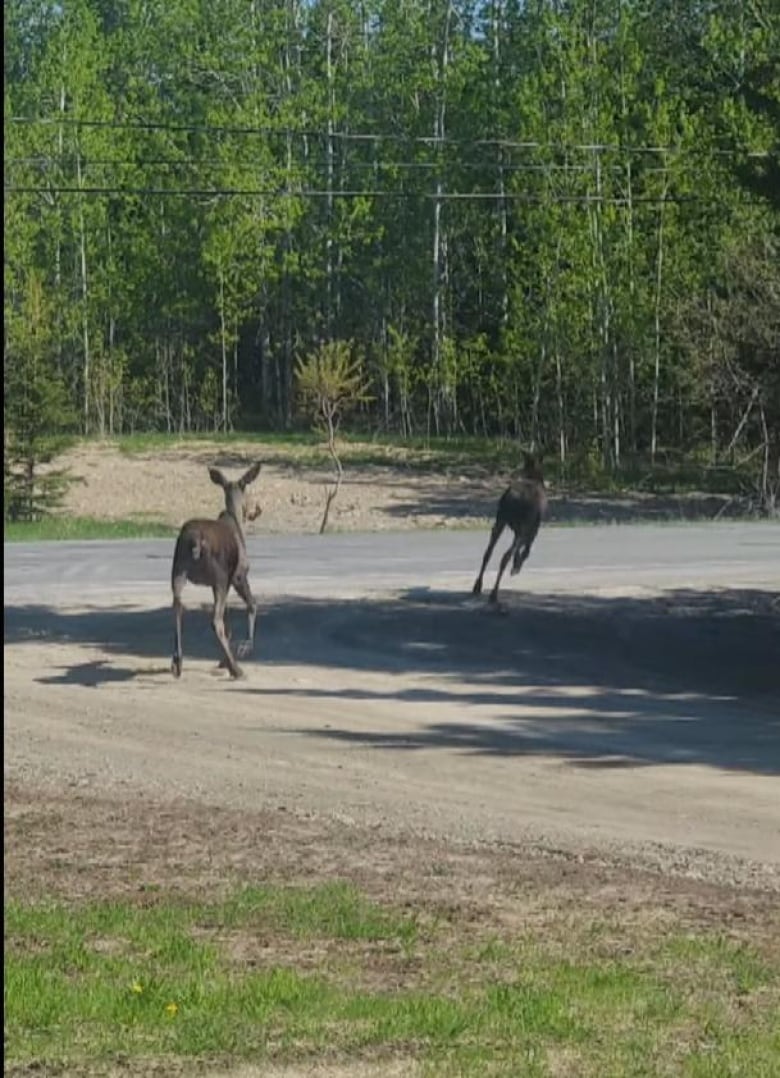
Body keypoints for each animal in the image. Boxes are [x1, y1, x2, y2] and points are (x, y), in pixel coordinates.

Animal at [170, 459, 261, 676]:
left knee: (178, 607)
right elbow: (252, 605)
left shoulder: (216, 583)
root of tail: (195, 541)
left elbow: (229, 623)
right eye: (248, 489)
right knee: (215, 620)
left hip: (178, 570)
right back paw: (237, 670)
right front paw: (244, 648)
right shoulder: (238, 575)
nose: (256, 510)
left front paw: (224, 660)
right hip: (220, 576)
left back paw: (178, 661)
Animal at [469, 450, 549, 607]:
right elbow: (526, 550)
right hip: (521, 524)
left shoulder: (519, 529)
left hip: (500, 520)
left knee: (488, 552)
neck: (533, 475)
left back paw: (477, 585)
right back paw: (494, 593)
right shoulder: (533, 526)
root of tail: (513, 499)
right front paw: (516, 567)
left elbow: (519, 550)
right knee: (505, 556)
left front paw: (516, 564)